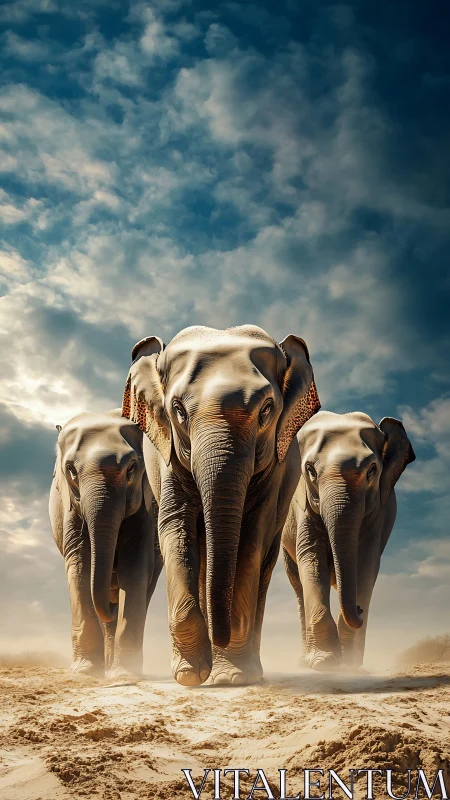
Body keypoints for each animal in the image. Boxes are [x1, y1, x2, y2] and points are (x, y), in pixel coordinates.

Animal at [49, 408, 162, 677]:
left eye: (132, 468)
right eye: (71, 469)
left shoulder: (147, 507)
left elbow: (135, 567)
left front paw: (124, 674)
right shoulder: (70, 507)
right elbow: (79, 566)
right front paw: (85, 671)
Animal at [121, 324, 321, 687]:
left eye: (267, 409)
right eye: (178, 410)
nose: (221, 635)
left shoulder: (274, 467)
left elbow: (251, 537)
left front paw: (231, 677)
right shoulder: (168, 453)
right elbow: (175, 525)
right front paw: (190, 675)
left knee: (263, 561)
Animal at [282, 410, 416, 671]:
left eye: (372, 470)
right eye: (310, 470)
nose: (359, 609)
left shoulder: (378, 511)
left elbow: (366, 565)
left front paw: (350, 664)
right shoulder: (301, 503)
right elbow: (311, 557)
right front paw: (325, 663)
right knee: (298, 585)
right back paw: (305, 661)